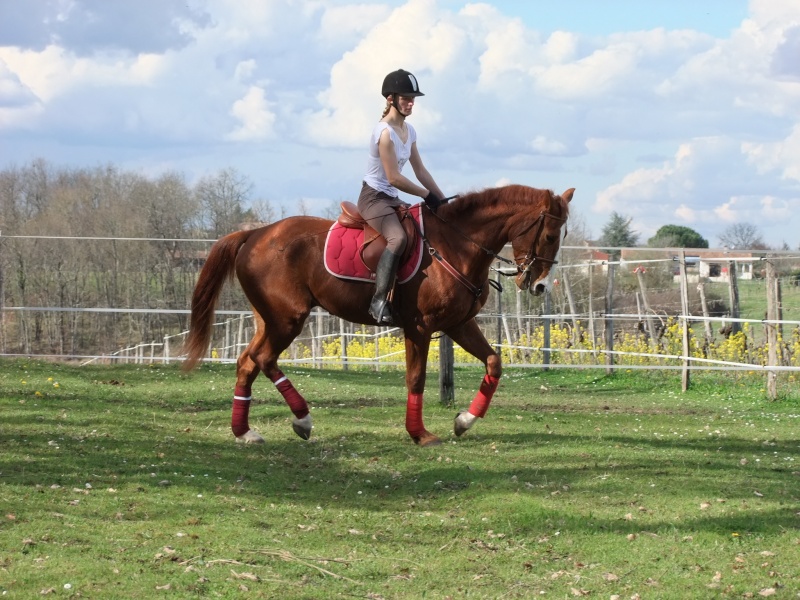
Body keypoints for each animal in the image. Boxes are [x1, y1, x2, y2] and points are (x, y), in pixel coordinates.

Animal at [184, 186, 572, 446]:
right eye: (551, 235)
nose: (540, 286)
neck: (457, 245)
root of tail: (255, 233)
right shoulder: (419, 328)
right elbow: (416, 379)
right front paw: (419, 433)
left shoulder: (458, 324)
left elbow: (494, 362)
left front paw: (464, 420)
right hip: (287, 319)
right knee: (263, 359)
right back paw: (303, 420)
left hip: (269, 319)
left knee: (247, 363)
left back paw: (245, 432)